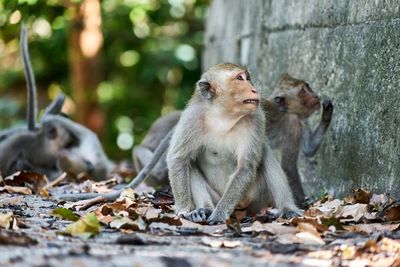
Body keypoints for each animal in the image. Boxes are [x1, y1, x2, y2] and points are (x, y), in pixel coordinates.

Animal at [165, 63, 300, 225]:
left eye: (248, 78)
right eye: (240, 78)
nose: (254, 89)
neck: (224, 117)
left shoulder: (256, 118)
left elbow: (246, 166)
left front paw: (219, 214)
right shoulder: (191, 119)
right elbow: (178, 159)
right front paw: (185, 209)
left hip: (254, 197)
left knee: (265, 154)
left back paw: (287, 208)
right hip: (216, 196)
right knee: (189, 164)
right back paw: (205, 208)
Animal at [264, 74, 332, 206]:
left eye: (308, 86)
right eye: (302, 91)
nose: (315, 96)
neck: (285, 110)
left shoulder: (301, 120)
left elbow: (308, 149)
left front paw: (327, 113)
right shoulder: (293, 124)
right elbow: (288, 168)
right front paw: (305, 202)